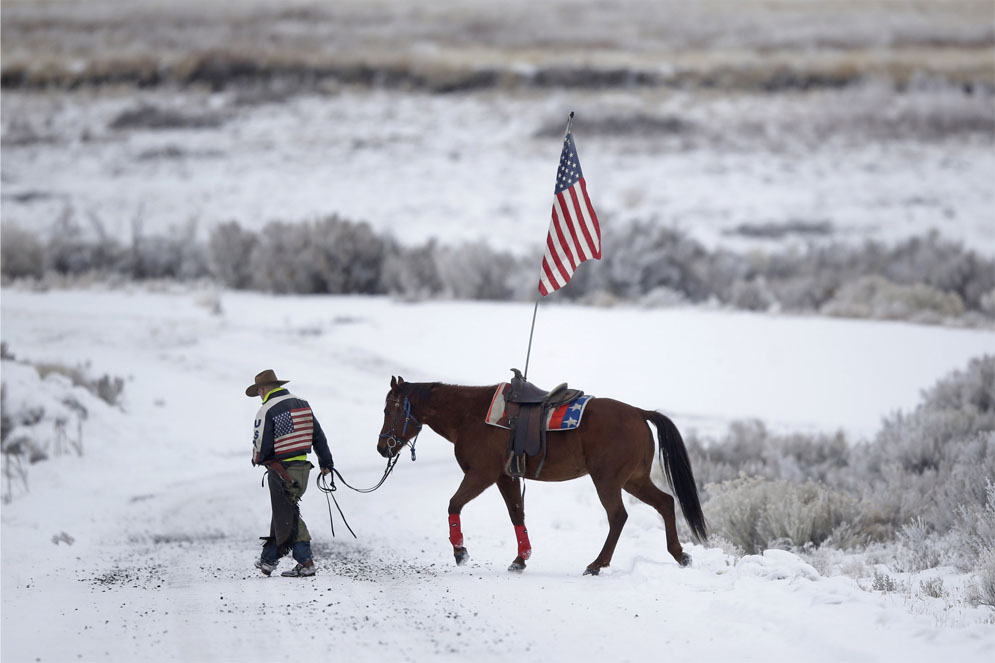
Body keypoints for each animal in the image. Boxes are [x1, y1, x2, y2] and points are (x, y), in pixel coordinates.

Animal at [376, 376, 708, 572]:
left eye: (389, 410)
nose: (382, 447)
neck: (471, 415)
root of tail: (639, 412)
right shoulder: (505, 477)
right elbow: (516, 514)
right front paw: (521, 557)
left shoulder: (481, 474)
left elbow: (454, 504)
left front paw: (460, 551)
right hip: (634, 480)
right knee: (665, 502)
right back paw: (679, 554)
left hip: (608, 480)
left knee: (618, 517)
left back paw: (597, 563)